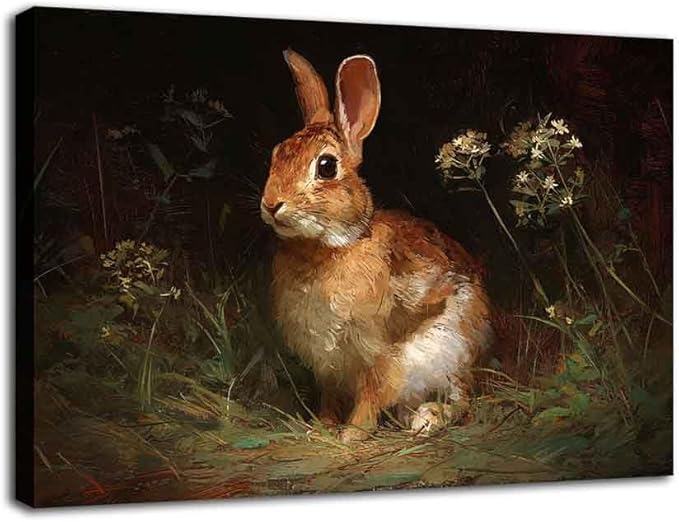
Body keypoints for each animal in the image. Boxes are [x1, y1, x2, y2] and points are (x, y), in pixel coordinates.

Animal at [260, 49, 494, 442]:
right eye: (277, 154)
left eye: (326, 166)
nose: (271, 204)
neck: (330, 248)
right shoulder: (328, 368)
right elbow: (330, 399)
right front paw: (320, 429)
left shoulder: (381, 356)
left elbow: (371, 395)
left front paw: (351, 436)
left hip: (454, 348)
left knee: (462, 400)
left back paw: (428, 419)